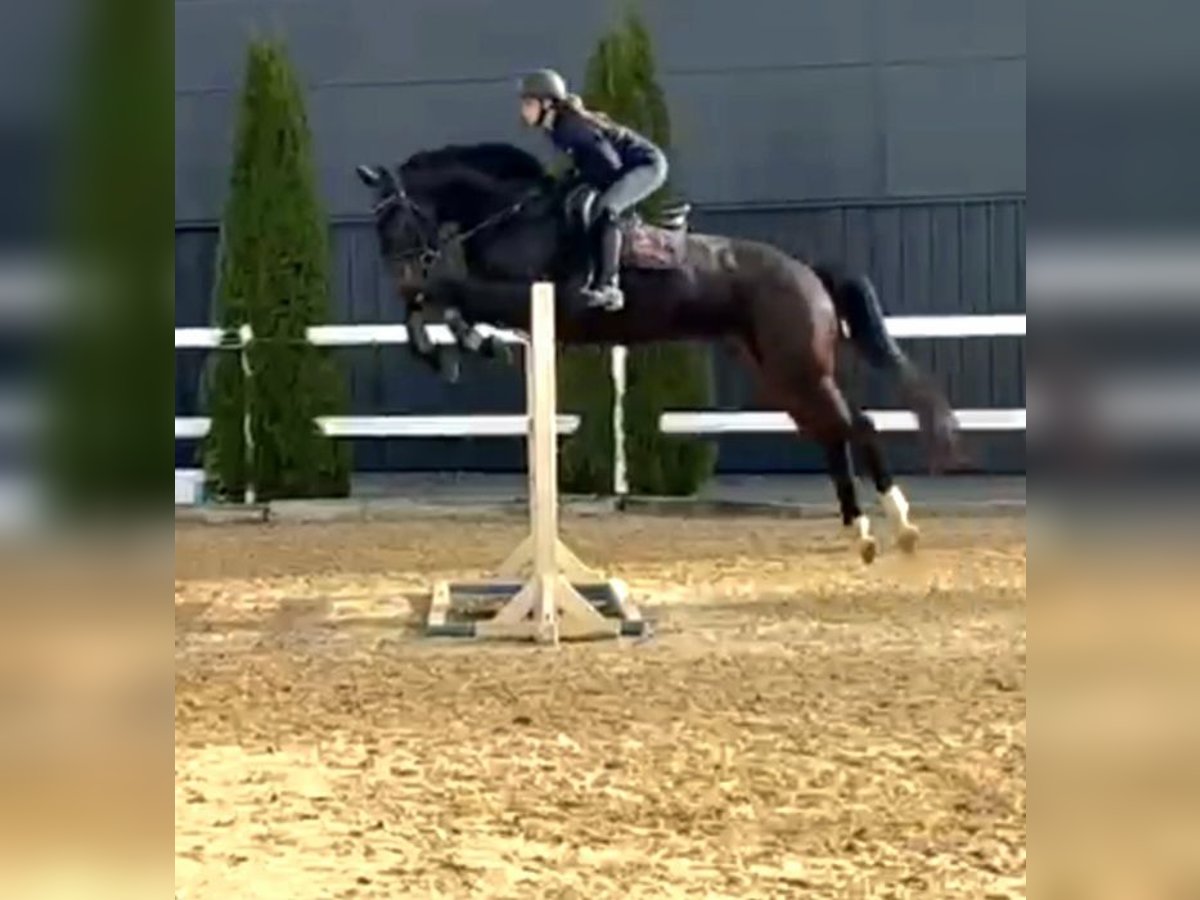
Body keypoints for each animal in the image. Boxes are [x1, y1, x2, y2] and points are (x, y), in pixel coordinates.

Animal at [354, 142, 961, 562]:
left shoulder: (520, 298)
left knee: (857, 425)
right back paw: (861, 532)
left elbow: (445, 293)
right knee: (835, 432)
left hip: (800, 369)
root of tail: (807, 270)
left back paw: (901, 525)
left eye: (394, 219)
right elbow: (443, 303)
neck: (513, 215)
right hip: (781, 375)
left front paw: (448, 344)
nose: (399, 274)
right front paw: (463, 345)